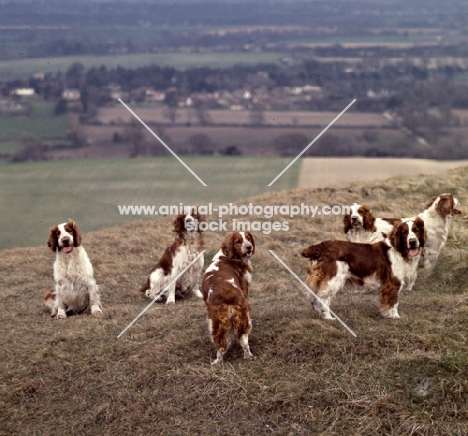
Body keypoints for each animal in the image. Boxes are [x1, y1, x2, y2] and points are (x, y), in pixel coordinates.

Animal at [202, 232, 256, 364]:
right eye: (238, 241)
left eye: (248, 238)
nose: (249, 247)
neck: (227, 257)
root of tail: (226, 294)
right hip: (242, 316)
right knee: (243, 339)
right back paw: (248, 356)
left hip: (215, 321)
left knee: (220, 343)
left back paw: (217, 361)